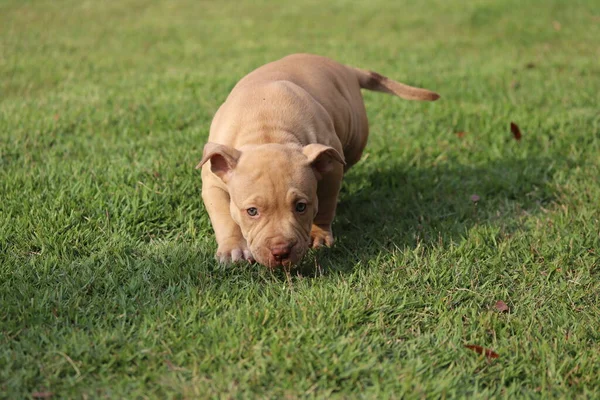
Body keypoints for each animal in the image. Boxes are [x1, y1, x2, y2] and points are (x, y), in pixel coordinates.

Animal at [199, 52, 438, 266]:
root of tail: (346, 68)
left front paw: (319, 235)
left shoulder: (331, 168)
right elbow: (224, 216)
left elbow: (325, 202)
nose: (281, 251)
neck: (267, 130)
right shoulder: (213, 181)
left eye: (301, 206)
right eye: (251, 211)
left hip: (355, 137)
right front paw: (234, 249)